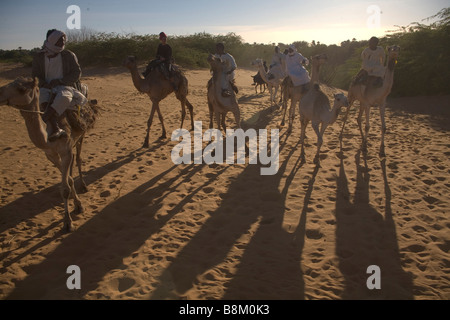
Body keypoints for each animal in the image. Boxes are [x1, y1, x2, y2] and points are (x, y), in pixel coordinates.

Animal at [0, 77, 99, 232]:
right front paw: (76, 203)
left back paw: (83, 185)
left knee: (78, 158)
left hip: (81, 134)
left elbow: (65, 187)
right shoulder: (51, 155)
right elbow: (68, 180)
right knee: (72, 163)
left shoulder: (65, 150)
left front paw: (68, 221)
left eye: (22, 89)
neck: (49, 137)